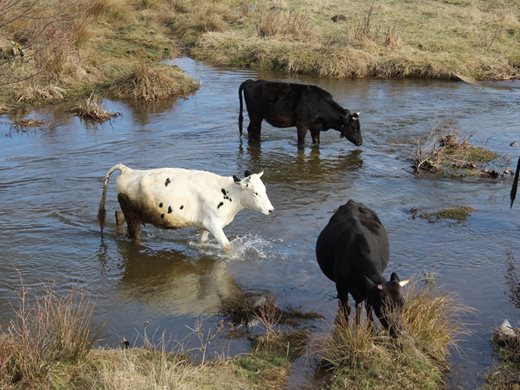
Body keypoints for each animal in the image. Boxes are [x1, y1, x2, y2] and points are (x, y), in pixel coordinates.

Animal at [98, 163, 276, 251]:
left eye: (264, 189)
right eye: (255, 192)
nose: (271, 210)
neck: (228, 192)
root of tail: (128, 171)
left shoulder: (205, 226)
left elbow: (202, 243)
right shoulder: (214, 225)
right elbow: (227, 246)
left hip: (130, 211)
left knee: (118, 215)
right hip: (133, 216)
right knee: (134, 235)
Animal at [314, 200, 408, 336]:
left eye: (402, 304)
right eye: (384, 306)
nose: (400, 331)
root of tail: (351, 202)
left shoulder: (367, 289)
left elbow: (368, 307)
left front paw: (370, 328)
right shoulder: (341, 285)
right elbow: (346, 308)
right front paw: (344, 330)